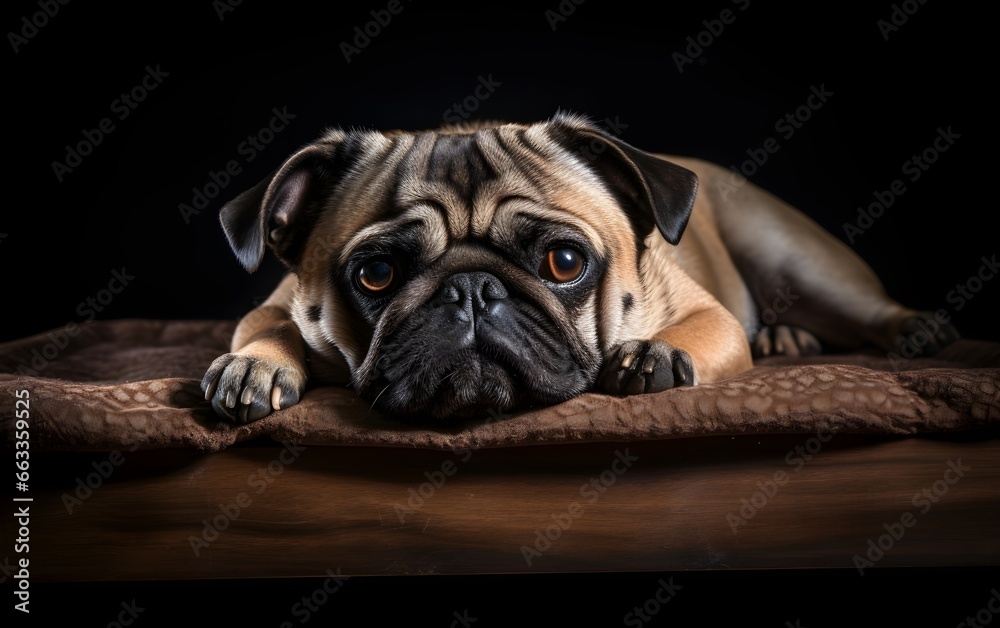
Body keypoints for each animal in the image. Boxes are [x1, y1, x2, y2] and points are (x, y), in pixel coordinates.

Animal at [199, 115, 956, 424]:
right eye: (376, 275)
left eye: (564, 262)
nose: (471, 288)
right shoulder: (274, 304)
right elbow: (269, 327)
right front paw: (256, 366)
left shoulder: (706, 314)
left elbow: (695, 332)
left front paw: (649, 353)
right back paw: (785, 339)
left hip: (792, 254)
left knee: (861, 308)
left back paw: (913, 328)